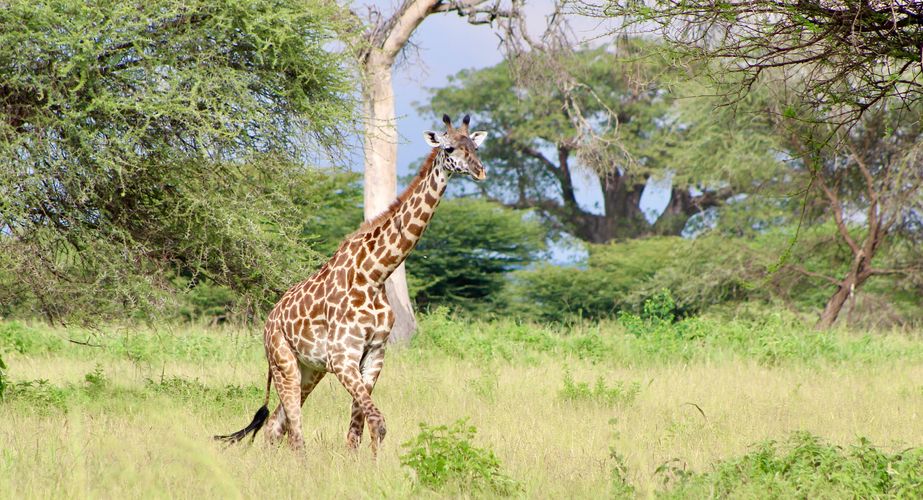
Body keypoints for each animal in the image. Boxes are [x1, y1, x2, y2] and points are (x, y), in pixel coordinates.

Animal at [215, 114, 488, 455]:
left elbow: (358, 429)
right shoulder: (342, 357)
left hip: (310, 369)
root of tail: (268, 321)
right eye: (449, 147)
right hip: (283, 362)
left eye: (475, 146)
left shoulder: (373, 355)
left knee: (276, 424)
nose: (480, 170)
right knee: (294, 429)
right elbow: (378, 423)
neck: (375, 274)